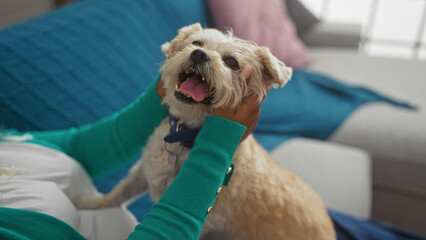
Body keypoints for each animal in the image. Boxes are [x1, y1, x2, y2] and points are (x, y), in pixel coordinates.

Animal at [75, 23, 336, 240]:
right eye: (196, 43)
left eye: (232, 63)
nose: (198, 54)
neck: (185, 134)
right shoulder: (144, 169)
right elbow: (118, 193)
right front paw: (87, 205)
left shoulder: (206, 223)